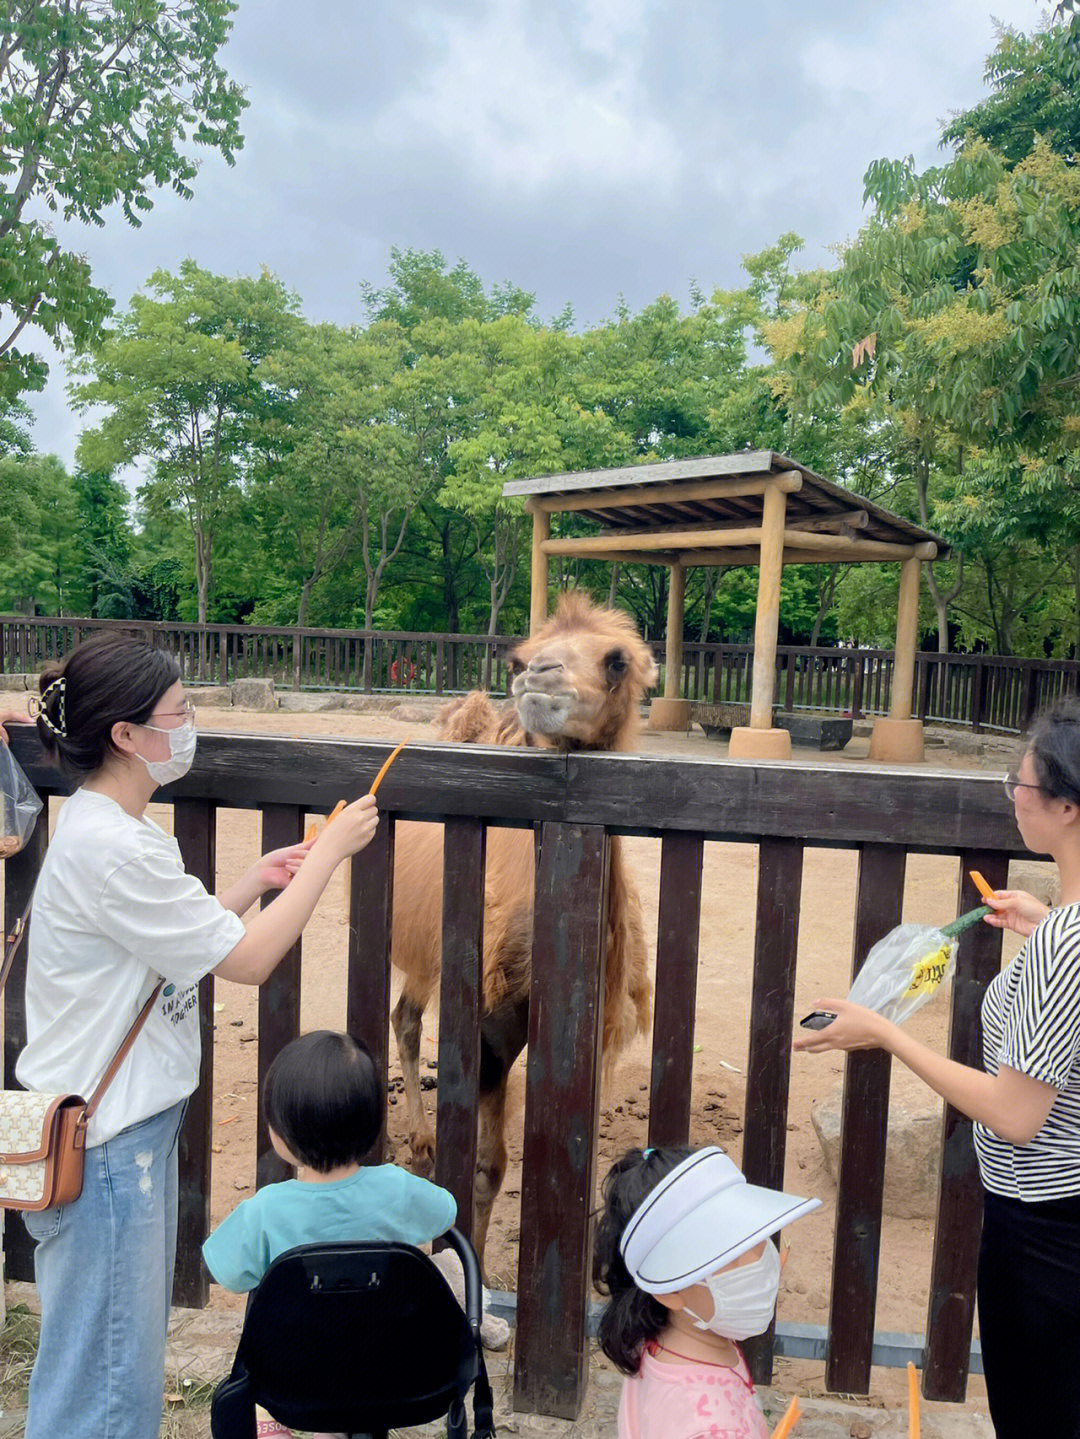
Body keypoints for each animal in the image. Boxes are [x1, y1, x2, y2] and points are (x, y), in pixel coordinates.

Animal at [391, 589, 655, 1266]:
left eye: (617, 660)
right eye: (519, 655)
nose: (538, 677)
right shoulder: (494, 1022)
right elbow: (489, 1167)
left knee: (406, 1014)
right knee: (406, 1020)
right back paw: (422, 1144)